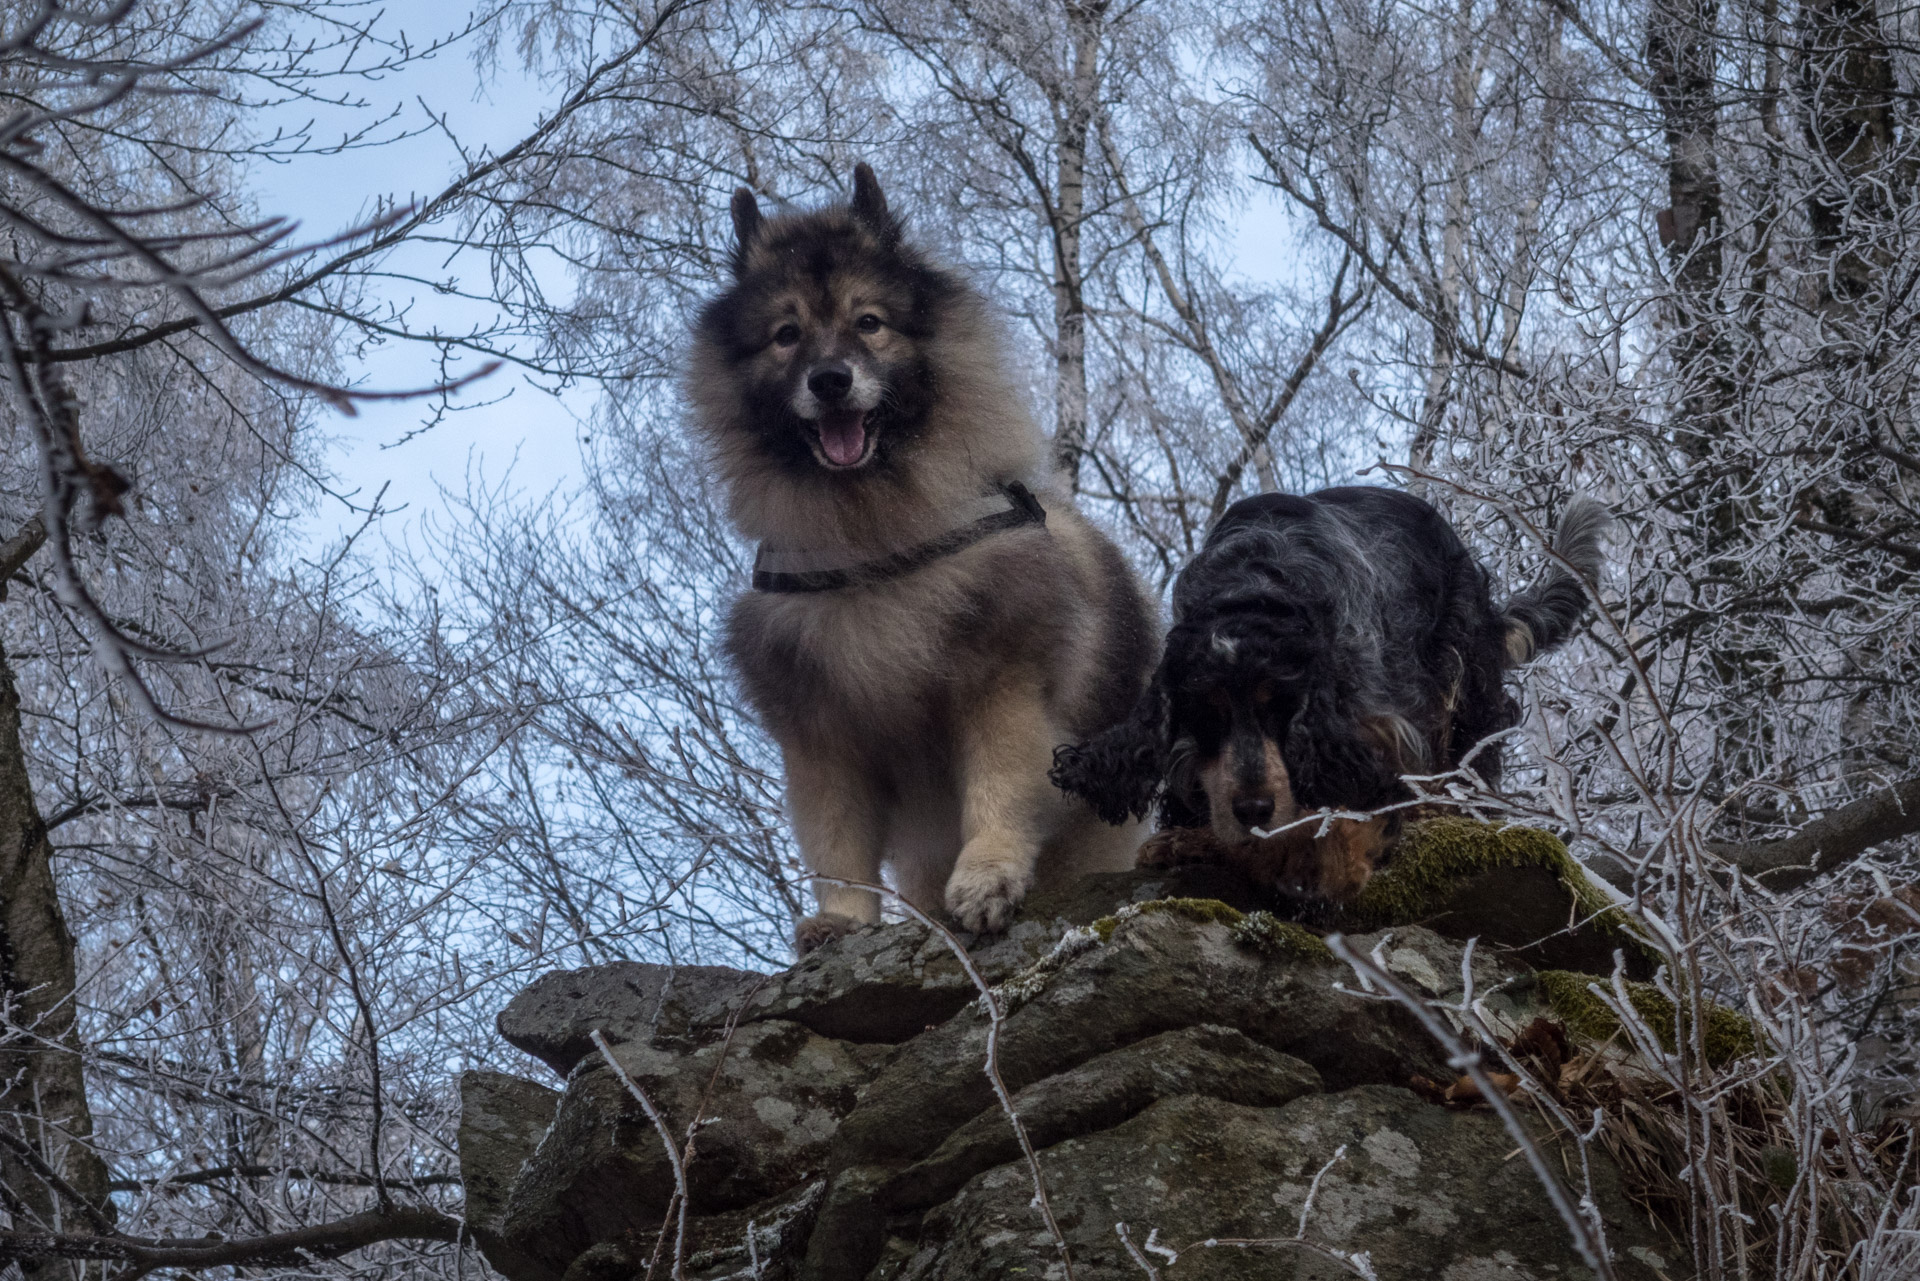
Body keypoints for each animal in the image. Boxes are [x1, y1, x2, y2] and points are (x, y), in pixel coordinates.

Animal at [1052, 485, 1605, 906]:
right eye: (1208, 714)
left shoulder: (1372, 722)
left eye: (1281, 708)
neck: (1253, 588)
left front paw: (1320, 860)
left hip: (1461, 674)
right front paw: (1181, 840)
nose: (1254, 810)